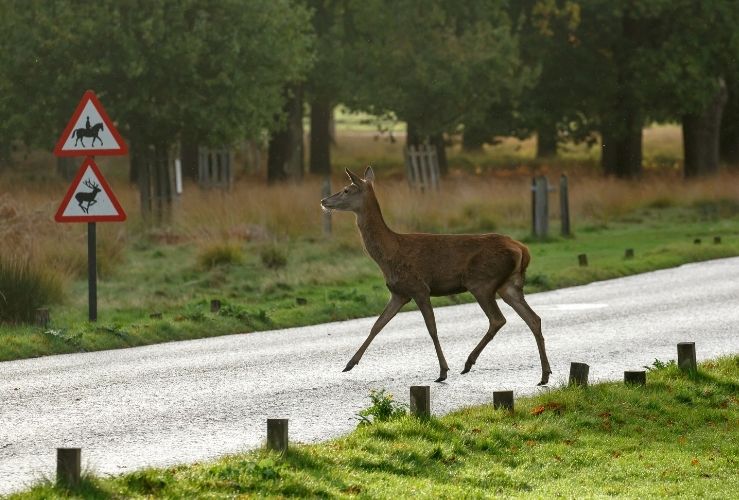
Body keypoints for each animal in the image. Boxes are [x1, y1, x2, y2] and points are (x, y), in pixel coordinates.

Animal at [320, 166, 552, 384]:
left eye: (347, 189)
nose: (324, 201)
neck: (389, 254)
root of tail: (522, 249)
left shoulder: (419, 287)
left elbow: (431, 328)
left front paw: (443, 371)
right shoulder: (399, 293)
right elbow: (377, 325)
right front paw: (349, 363)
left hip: (482, 282)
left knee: (498, 319)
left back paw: (468, 362)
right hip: (510, 285)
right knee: (534, 319)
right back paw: (544, 374)